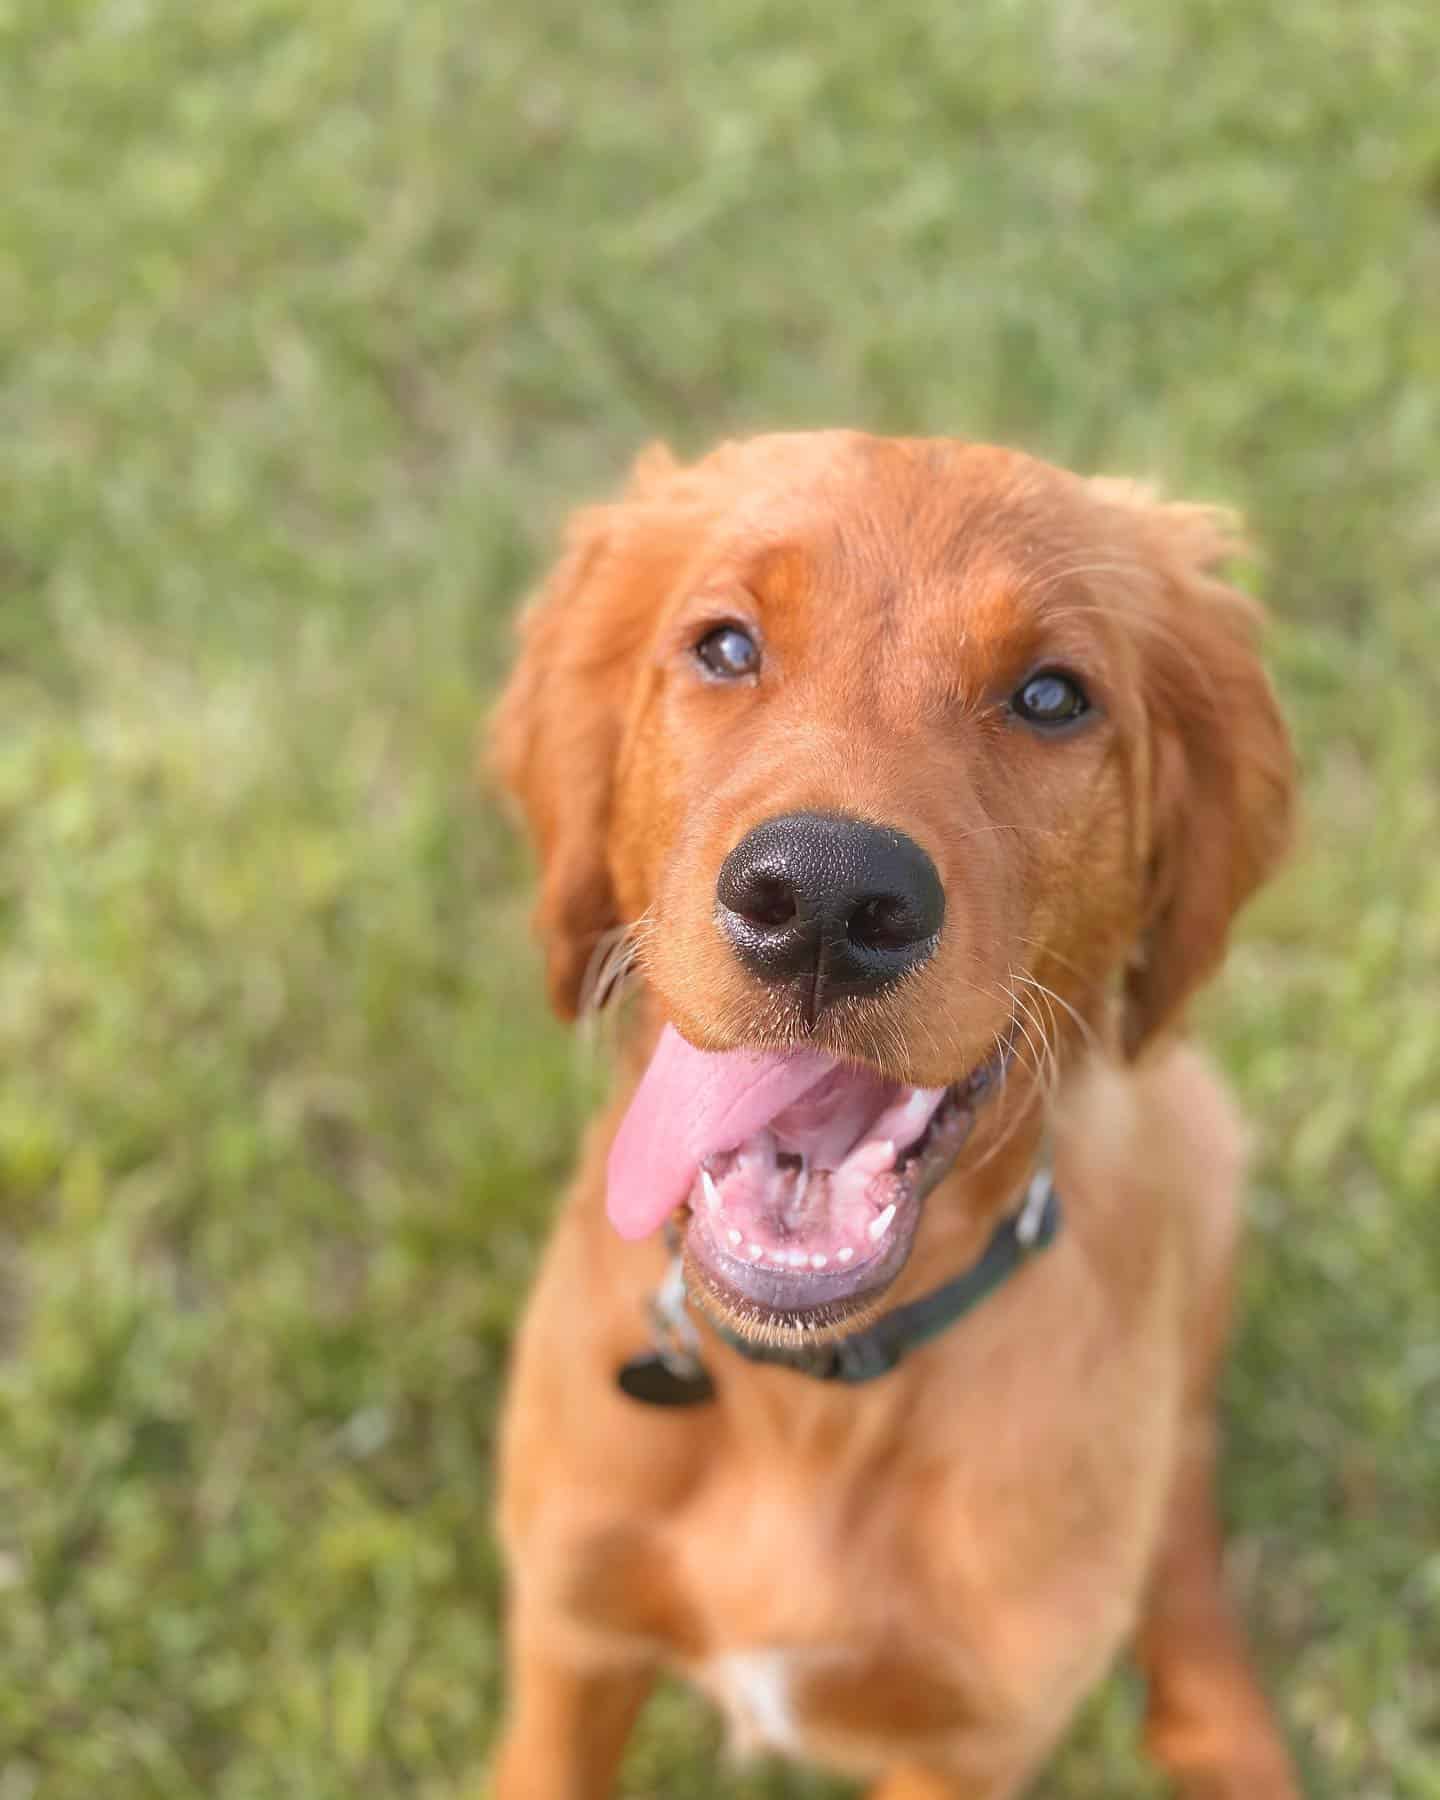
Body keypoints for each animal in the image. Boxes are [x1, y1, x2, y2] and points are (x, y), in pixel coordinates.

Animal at [489, 428, 1296, 1792]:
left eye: (1052, 697)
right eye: (724, 646)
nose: (822, 898)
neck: (815, 1404)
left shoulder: (966, 1746)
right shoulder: (572, 1628)